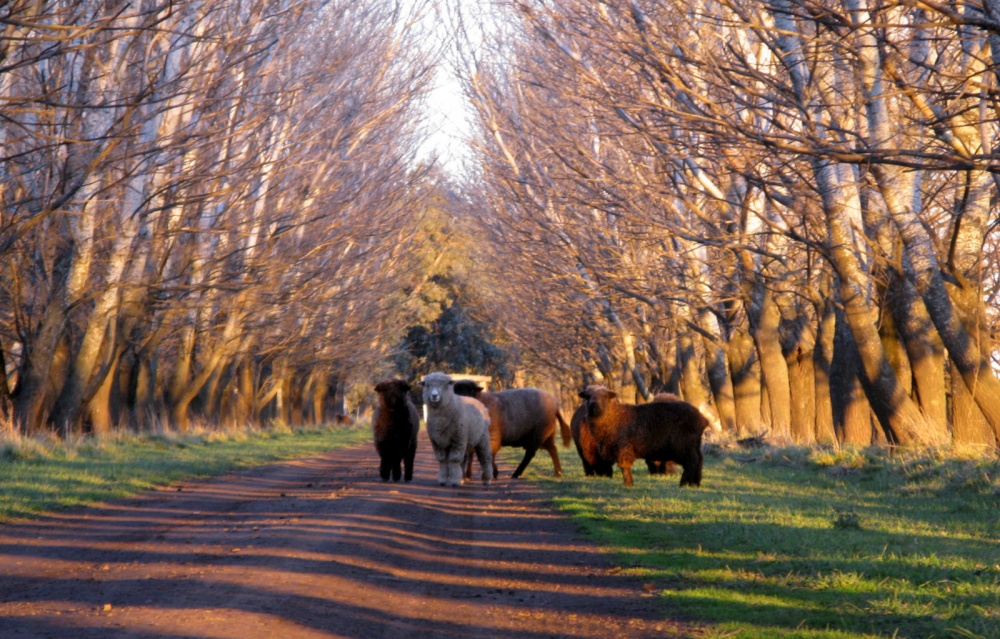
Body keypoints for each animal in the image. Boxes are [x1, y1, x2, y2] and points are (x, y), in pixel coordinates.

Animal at [576, 388, 708, 488]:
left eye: (604, 396)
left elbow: (624, 466)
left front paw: (627, 483)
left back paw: (684, 483)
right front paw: (628, 483)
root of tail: (702, 418)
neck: (614, 416)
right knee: (700, 459)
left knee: (692, 461)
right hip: (694, 443)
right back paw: (695, 483)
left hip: (683, 444)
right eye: (587, 397)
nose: (593, 407)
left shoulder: (623, 446)